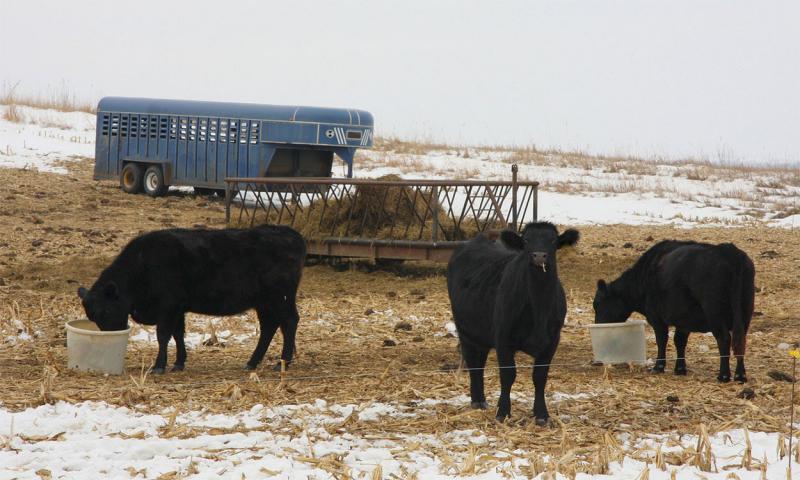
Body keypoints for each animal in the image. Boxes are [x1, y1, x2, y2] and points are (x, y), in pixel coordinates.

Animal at [77, 224, 306, 374]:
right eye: (93, 316)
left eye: (106, 311)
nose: (110, 339)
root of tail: (290, 233)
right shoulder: (178, 308)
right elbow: (178, 334)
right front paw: (179, 362)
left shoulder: (167, 306)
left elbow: (163, 335)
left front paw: (159, 366)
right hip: (264, 302)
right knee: (269, 326)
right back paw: (253, 362)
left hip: (280, 297)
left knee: (289, 322)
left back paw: (283, 362)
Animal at [446, 222, 580, 424]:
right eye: (526, 240)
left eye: (553, 240)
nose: (539, 256)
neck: (539, 308)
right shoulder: (503, 338)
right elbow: (508, 375)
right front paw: (503, 412)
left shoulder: (552, 341)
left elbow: (540, 377)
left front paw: (541, 415)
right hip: (465, 329)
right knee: (473, 362)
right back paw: (477, 400)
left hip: (481, 333)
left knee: (480, 361)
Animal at [593, 240, 755, 382]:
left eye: (597, 304)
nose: (597, 326)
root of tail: (728, 250)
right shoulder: (684, 319)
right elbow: (679, 341)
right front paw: (680, 369)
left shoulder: (657, 317)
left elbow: (662, 340)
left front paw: (658, 367)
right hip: (745, 311)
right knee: (740, 340)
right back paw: (740, 375)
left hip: (715, 313)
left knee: (724, 339)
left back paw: (724, 376)